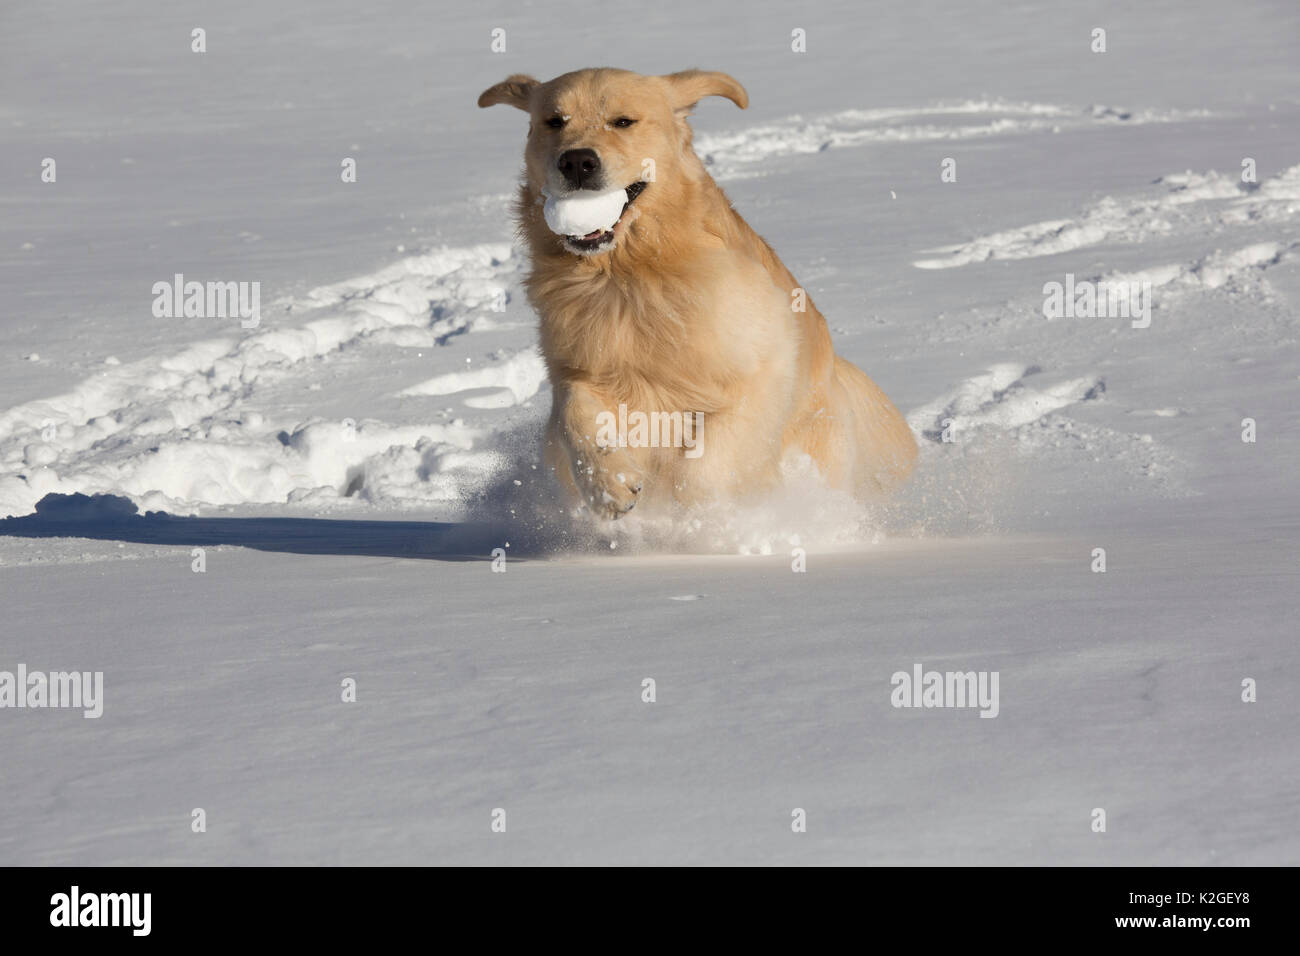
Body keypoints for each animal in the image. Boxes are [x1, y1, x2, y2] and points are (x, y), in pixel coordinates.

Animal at [478, 68, 915, 520]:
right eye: (554, 121)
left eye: (623, 121)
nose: (577, 161)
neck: (627, 275)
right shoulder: (580, 367)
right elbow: (572, 413)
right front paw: (609, 484)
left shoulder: (763, 370)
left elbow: (704, 465)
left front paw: (699, 518)